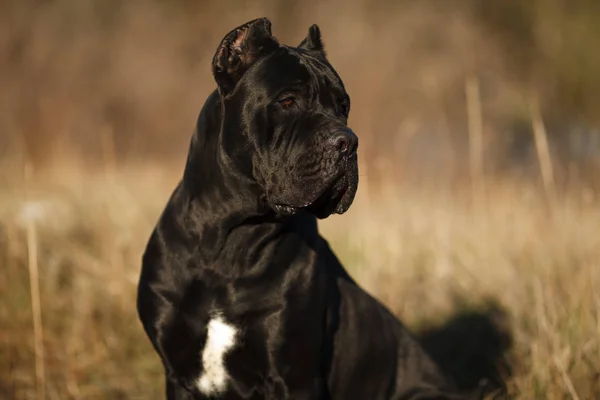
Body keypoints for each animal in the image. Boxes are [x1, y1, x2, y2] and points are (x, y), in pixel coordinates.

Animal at [137, 17, 464, 398]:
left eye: (343, 107)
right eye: (288, 100)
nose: (348, 142)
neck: (231, 239)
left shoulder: (294, 377)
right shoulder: (178, 373)